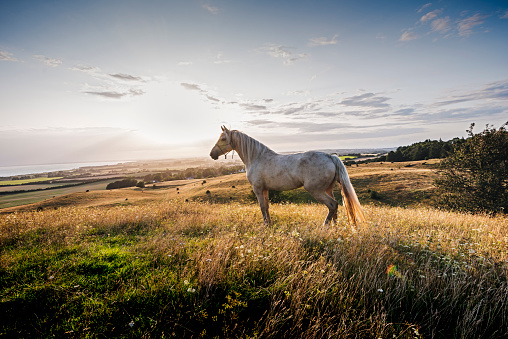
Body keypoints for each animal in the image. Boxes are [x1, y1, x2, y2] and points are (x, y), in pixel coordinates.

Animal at [208, 126, 368, 227]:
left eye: (223, 139)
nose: (212, 154)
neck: (256, 157)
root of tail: (330, 157)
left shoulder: (258, 188)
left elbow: (262, 207)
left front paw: (265, 226)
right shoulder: (265, 189)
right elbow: (267, 207)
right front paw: (269, 225)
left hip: (316, 190)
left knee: (332, 205)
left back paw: (325, 227)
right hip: (328, 189)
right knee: (335, 207)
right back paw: (334, 228)